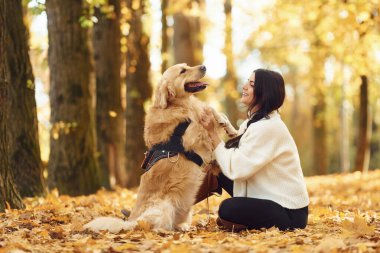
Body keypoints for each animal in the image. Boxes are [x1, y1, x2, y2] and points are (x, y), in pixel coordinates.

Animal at [84, 63, 236, 233]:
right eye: (183, 71)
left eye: (187, 66)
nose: (203, 66)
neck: (177, 105)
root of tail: (131, 220)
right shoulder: (194, 136)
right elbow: (204, 121)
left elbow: (211, 111)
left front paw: (230, 128)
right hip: (163, 206)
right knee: (151, 226)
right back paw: (163, 231)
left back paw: (182, 227)